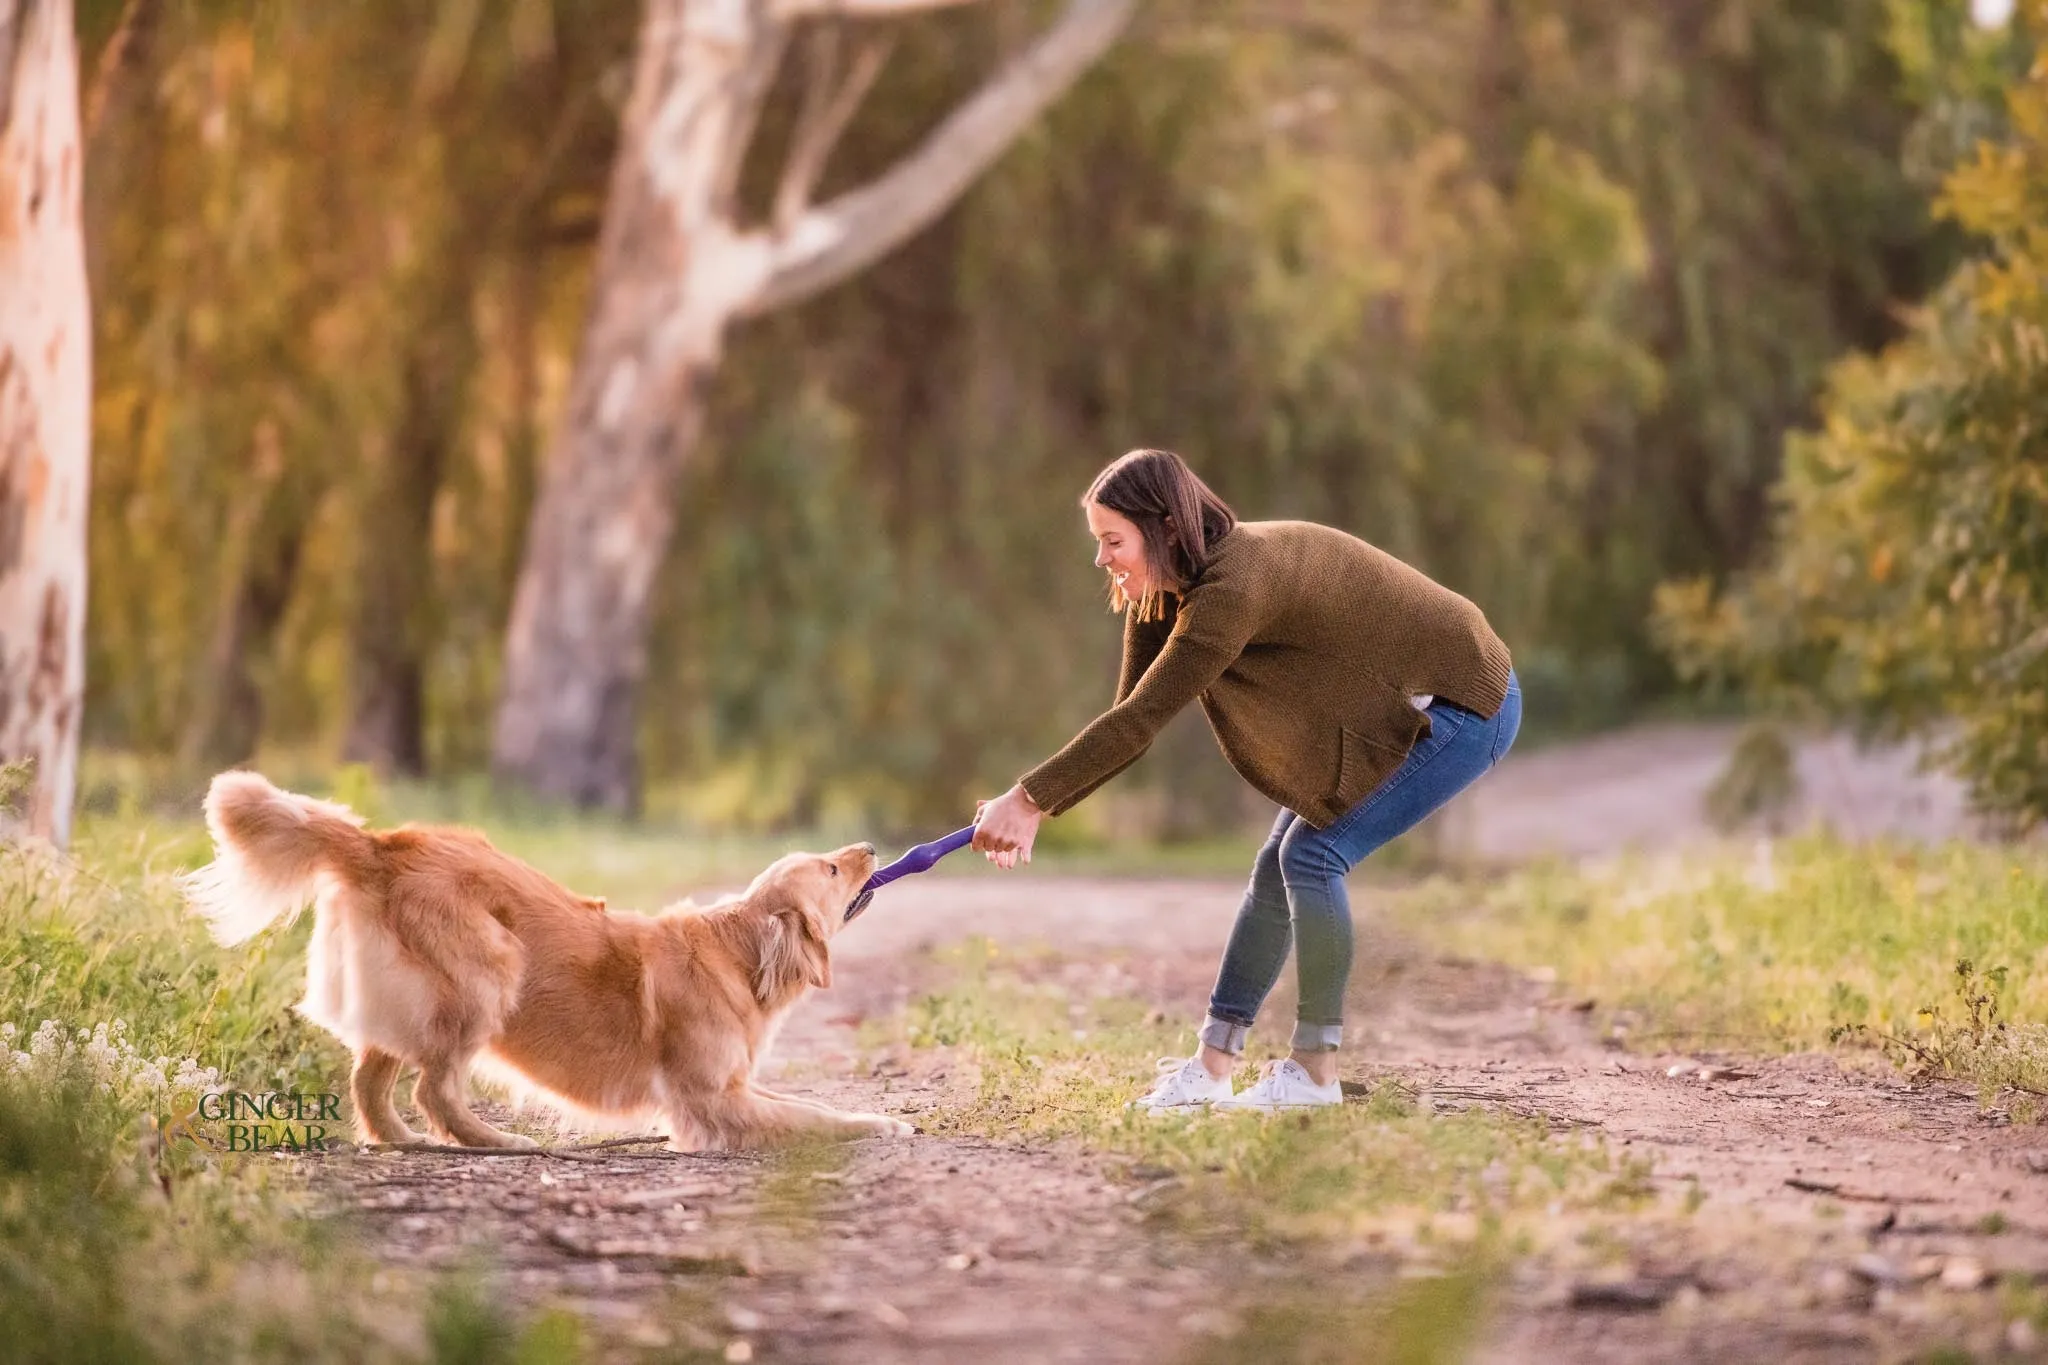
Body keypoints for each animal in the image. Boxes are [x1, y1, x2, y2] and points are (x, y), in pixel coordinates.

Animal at [184, 769, 913, 1154]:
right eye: (830, 867)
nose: (872, 846)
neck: (738, 958)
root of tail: (383, 843)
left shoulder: (733, 1087)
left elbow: (804, 1102)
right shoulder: (713, 1099)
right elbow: (815, 1116)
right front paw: (883, 1122)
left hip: (406, 999)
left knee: (371, 1083)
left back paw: (405, 1142)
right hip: (488, 970)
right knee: (432, 1088)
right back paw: (496, 1143)